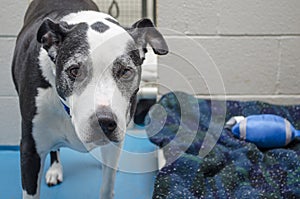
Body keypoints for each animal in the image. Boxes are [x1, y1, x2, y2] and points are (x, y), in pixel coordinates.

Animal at [11, 0, 168, 198]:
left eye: (125, 71)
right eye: (74, 71)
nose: (104, 122)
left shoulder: (117, 142)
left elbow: (107, 186)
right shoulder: (30, 151)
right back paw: (55, 169)